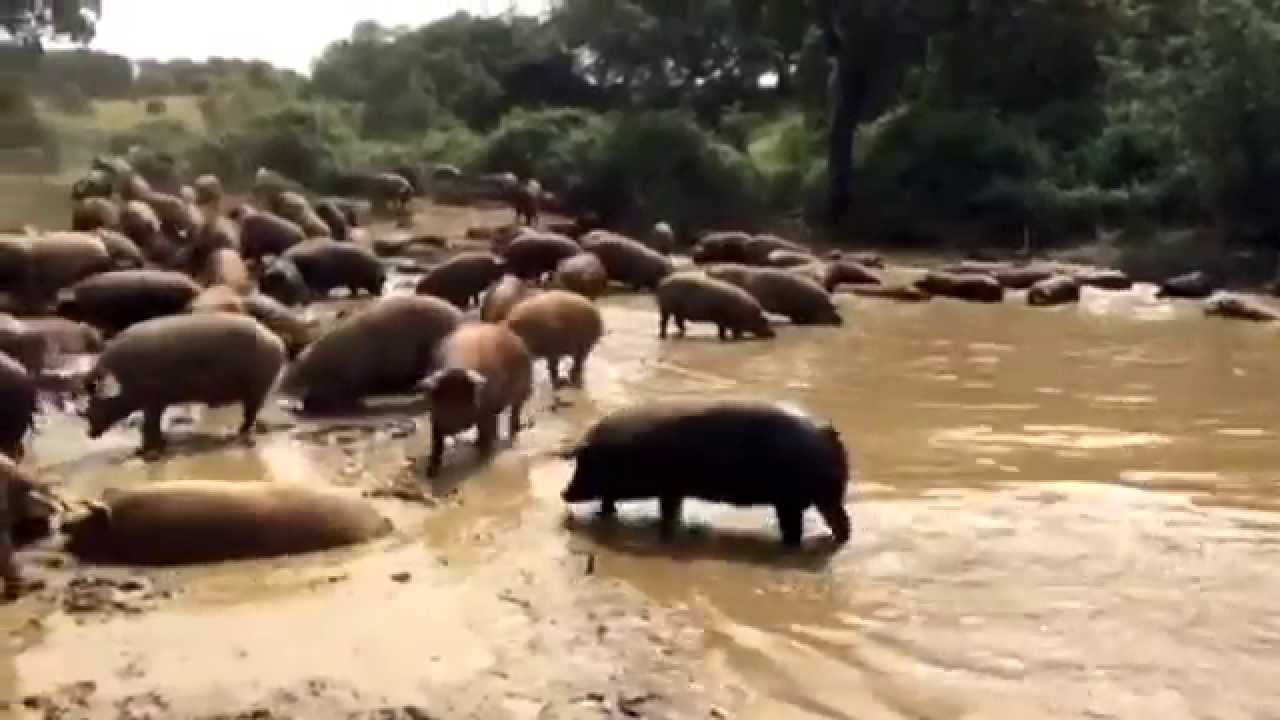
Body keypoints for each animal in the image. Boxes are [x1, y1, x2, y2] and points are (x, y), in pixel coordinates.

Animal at [559, 400, 852, 547]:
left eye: (584, 463)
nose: (563, 493)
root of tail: (828, 433)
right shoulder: (673, 490)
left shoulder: (670, 487)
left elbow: (668, 514)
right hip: (818, 499)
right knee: (840, 525)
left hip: (798, 500)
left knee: (813, 528)